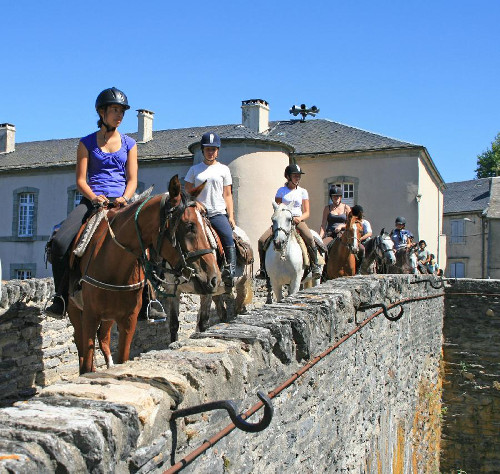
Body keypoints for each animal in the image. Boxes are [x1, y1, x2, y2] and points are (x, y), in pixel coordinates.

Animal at [67, 174, 221, 374]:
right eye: (190, 226)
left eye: (207, 222)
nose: (213, 279)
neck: (113, 265)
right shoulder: (90, 316)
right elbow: (86, 361)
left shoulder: (128, 320)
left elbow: (122, 358)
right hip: (75, 310)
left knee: (104, 339)